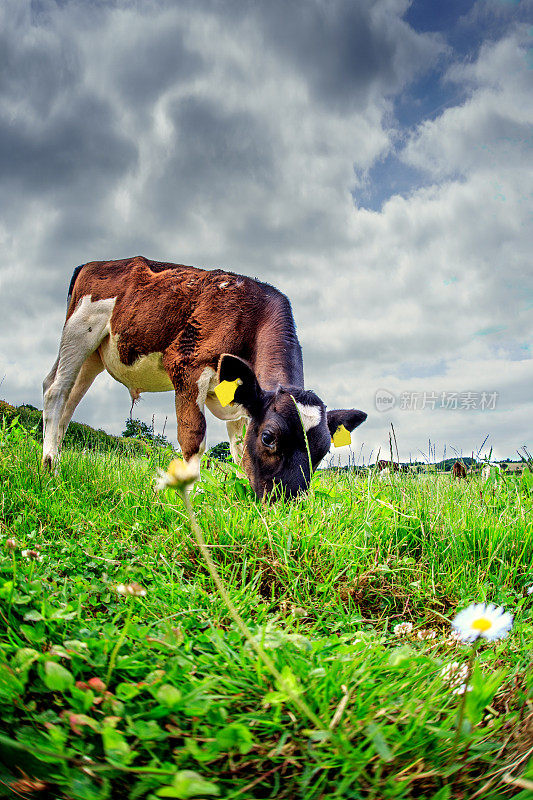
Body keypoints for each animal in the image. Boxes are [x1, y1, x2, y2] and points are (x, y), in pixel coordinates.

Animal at [43, 256, 366, 496]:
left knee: (68, 401)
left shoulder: (242, 401)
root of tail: (92, 264)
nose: (287, 503)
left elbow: (239, 452)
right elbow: (194, 438)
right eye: (269, 437)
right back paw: (49, 467)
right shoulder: (186, 367)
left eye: (323, 451)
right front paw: (192, 497)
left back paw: (56, 463)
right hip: (79, 330)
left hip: (94, 356)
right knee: (55, 391)